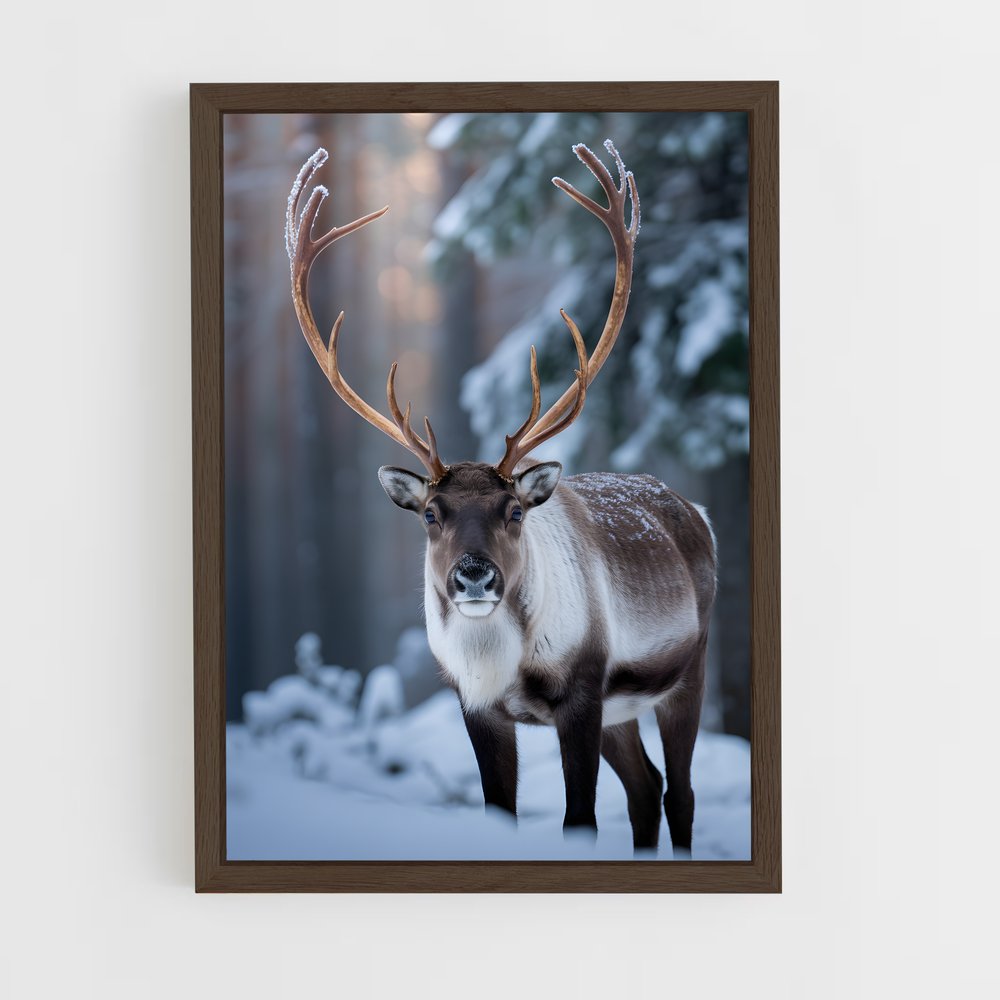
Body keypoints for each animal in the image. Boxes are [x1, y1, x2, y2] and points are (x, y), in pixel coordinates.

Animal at [284, 140, 717, 856]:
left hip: (687, 669)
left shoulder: (582, 694)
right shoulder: (479, 708)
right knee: (646, 786)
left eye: (513, 511)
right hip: (624, 710)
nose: (474, 576)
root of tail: (695, 510)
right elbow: (499, 814)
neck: (507, 668)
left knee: (678, 790)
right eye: (431, 514)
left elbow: (578, 821)